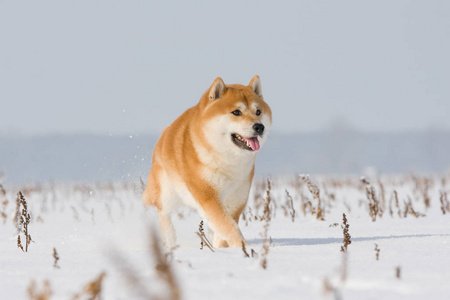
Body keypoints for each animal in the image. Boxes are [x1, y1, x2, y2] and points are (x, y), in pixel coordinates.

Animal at [142, 75, 272, 248]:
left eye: (258, 112)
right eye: (236, 112)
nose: (259, 126)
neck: (227, 160)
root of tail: (164, 133)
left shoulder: (236, 198)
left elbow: (223, 229)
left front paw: (223, 249)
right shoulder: (207, 195)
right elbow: (228, 226)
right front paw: (243, 247)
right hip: (167, 192)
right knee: (163, 212)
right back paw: (170, 241)